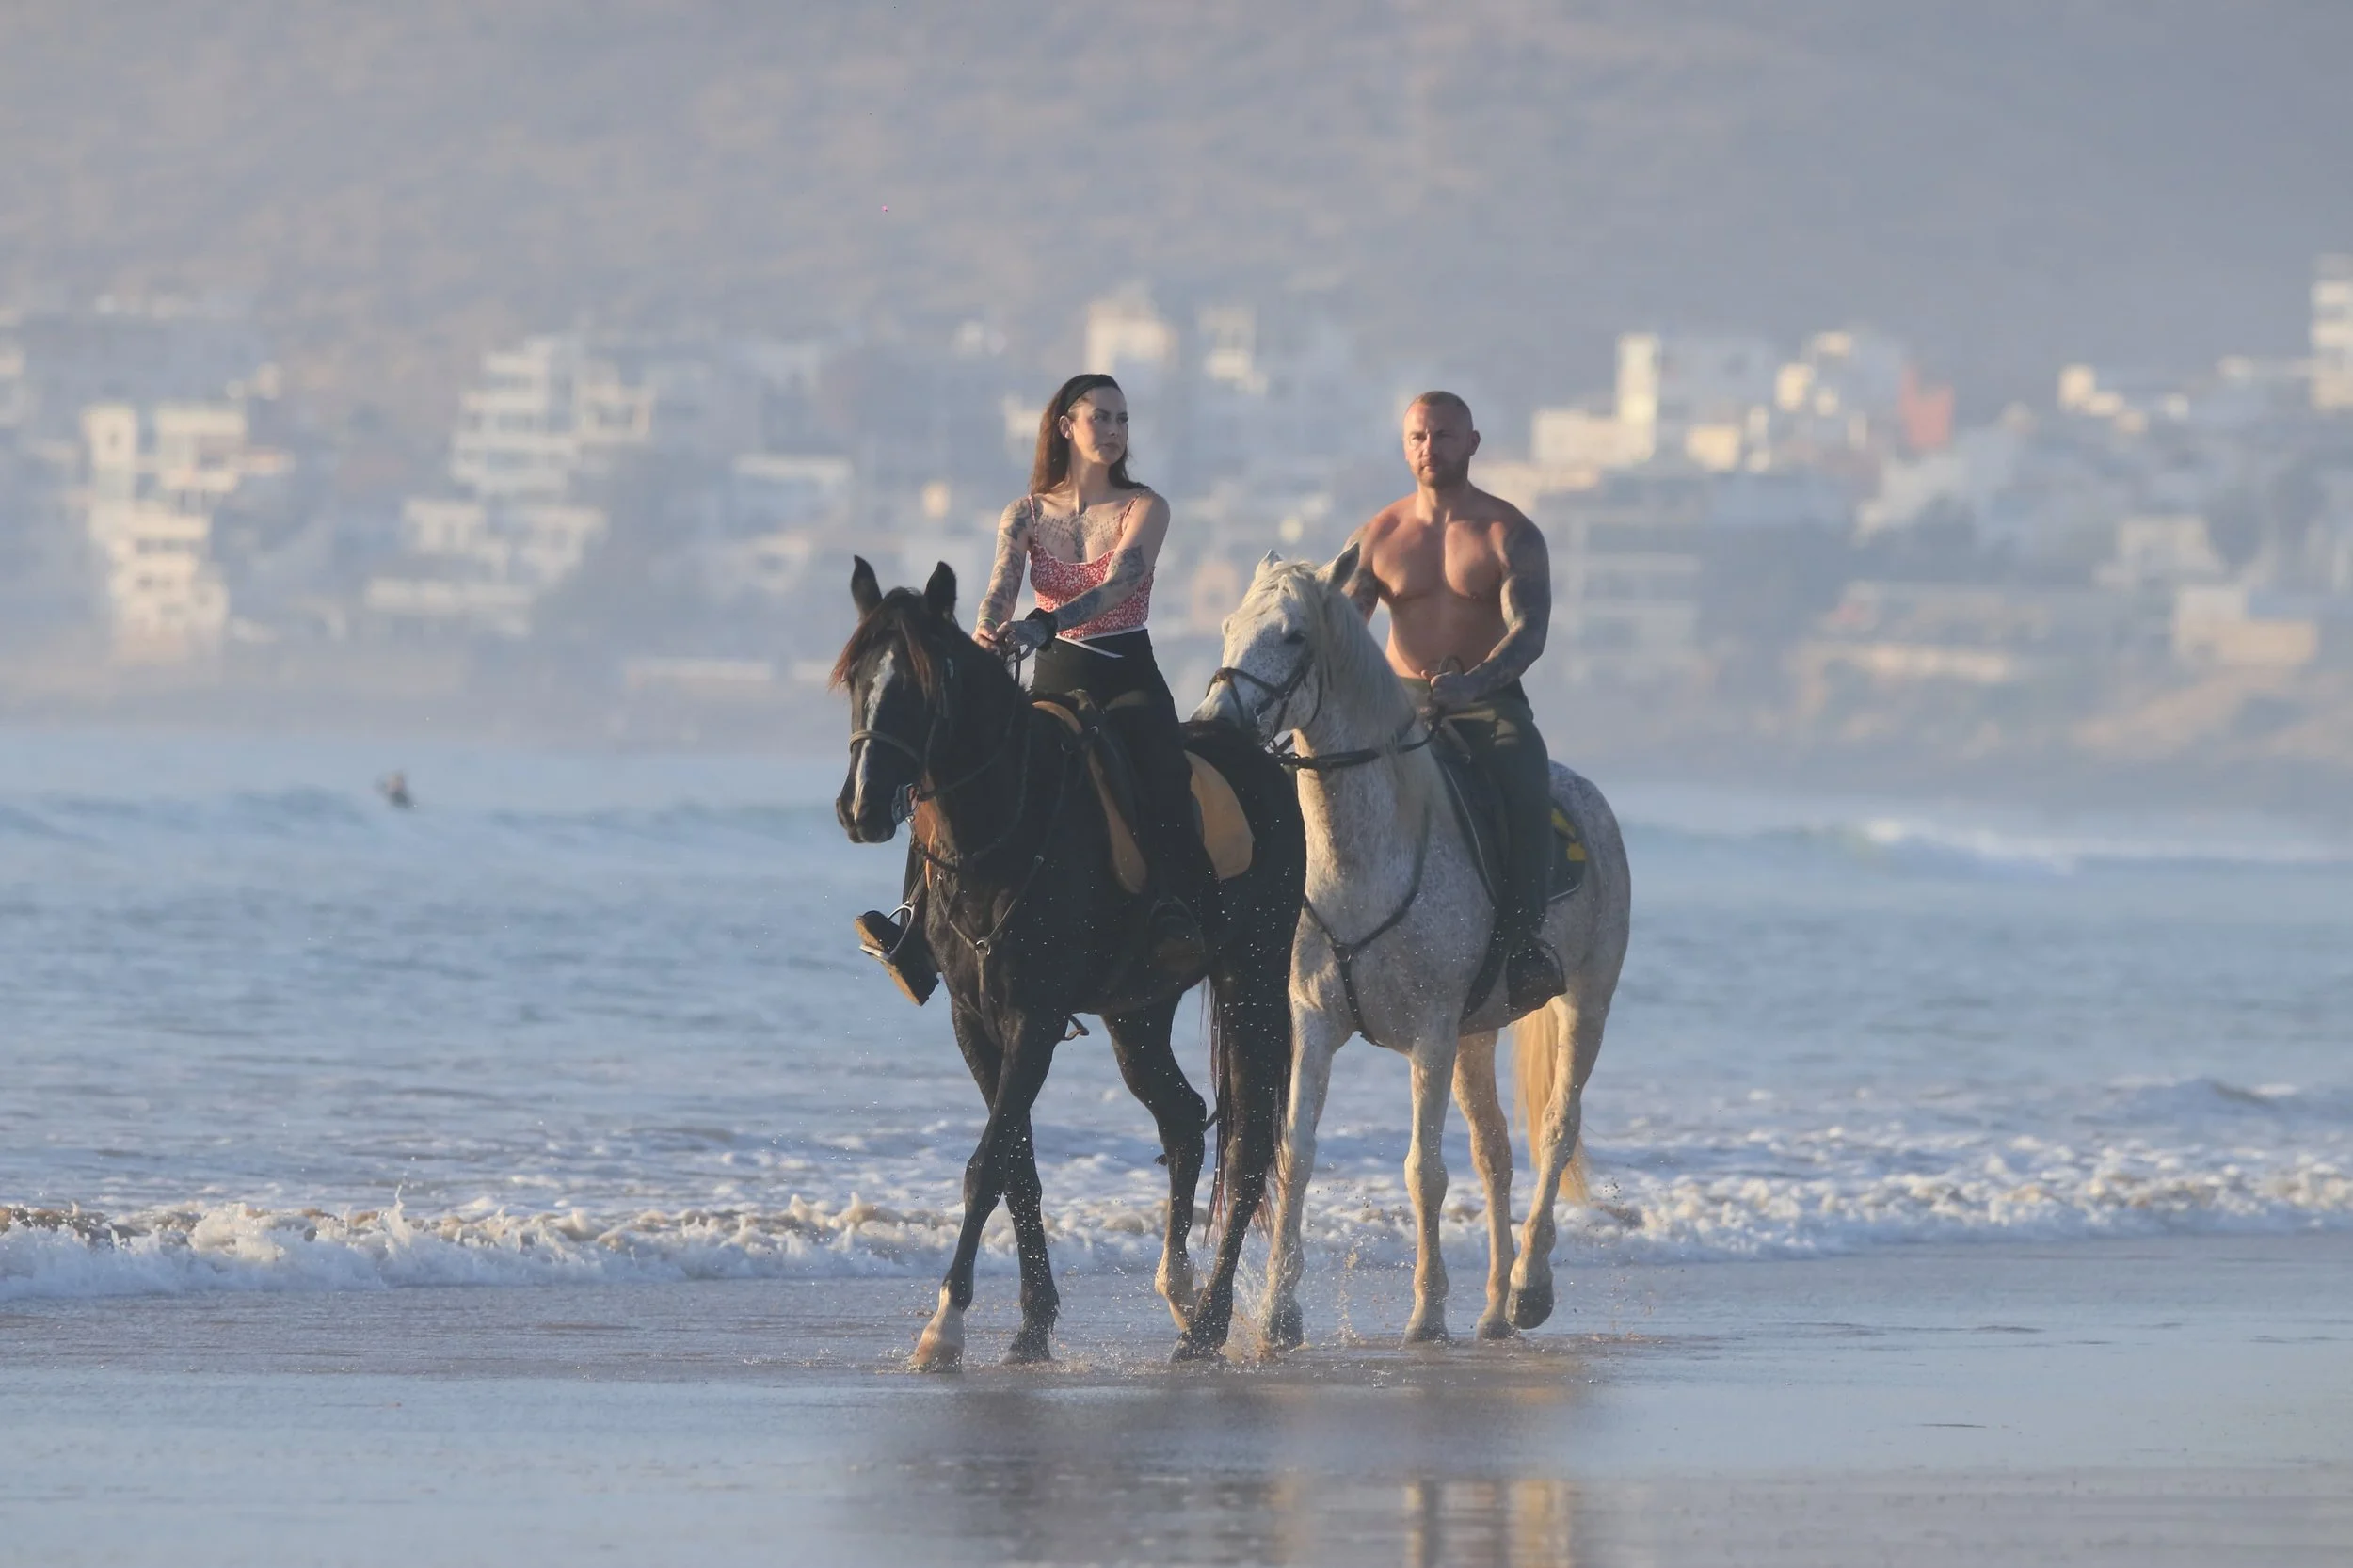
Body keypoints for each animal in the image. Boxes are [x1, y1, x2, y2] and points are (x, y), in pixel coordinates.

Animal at [833, 558, 1305, 1368]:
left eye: (925, 685)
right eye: (858, 677)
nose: (861, 807)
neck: (1005, 830)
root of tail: (1267, 762)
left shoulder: (1035, 1016)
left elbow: (988, 1164)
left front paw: (945, 1326)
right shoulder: (974, 1020)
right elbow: (1017, 1165)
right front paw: (1032, 1323)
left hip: (1254, 981)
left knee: (1245, 1151)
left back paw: (1208, 1325)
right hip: (1136, 1013)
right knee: (1184, 1120)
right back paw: (1178, 1292)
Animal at [1196, 546, 1632, 1347]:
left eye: (1294, 635)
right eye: (1230, 625)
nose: (1216, 723)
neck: (1362, 858)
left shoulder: (1429, 1033)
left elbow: (1422, 1172)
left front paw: (1427, 1313)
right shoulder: (1315, 1023)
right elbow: (1297, 1156)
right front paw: (1278, 1310)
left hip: (1584, 1006)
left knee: (1556, 1131)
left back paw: (1529, 1287)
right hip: (1476, 1036)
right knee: (1495, 1152)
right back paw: (1494, 1308)